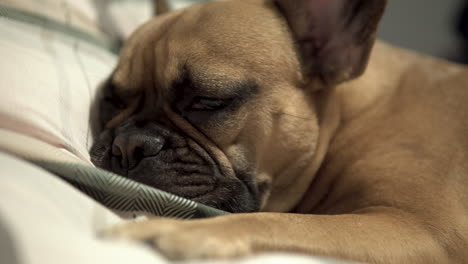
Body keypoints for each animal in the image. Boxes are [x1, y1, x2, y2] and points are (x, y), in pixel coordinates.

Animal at [89, 0, 468, 262]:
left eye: (208, 100)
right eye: (112, 100)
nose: (129, 144)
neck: (344, 122)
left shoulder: (421, 229)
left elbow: (282, 221)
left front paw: (169, 228)